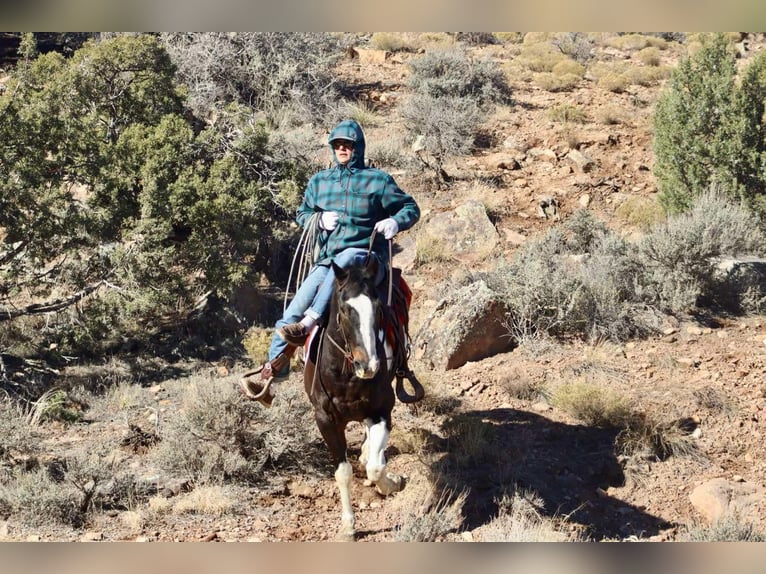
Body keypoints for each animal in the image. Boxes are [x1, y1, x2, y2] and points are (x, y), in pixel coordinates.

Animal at [303, 254, 422, 541]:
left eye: (379, 309)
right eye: (346, 309)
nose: (369, 364)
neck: (346, 375)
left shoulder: (382, 411)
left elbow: (376, 468)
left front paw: (391, 483)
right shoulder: (325, 420)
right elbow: (343, 472)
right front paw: (348, 525)